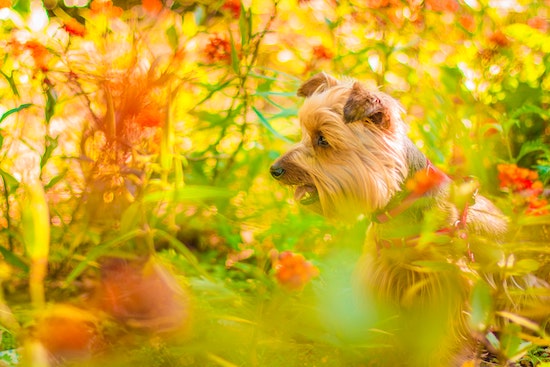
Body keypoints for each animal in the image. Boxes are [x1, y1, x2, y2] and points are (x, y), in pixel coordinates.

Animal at [270, 73, 512, 366]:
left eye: (323, 140)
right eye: (306, 134)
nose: (274, 170)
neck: (398, 209)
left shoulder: (453, 288)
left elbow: (448, 336)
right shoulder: (379, 276)